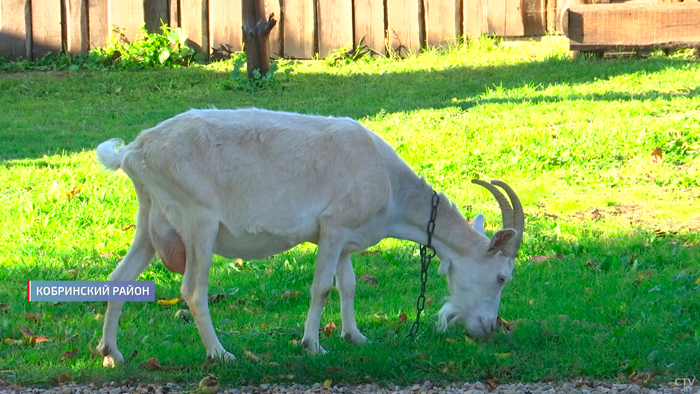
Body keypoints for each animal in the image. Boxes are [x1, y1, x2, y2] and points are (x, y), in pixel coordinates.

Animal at [97, 107, 524, 366]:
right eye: (502, 277)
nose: (488, 329)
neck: (390, 184)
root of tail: (134, 151)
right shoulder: (332, 227)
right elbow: (321, 287)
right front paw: (314, 345)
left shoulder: (347, 238)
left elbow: (349, 285)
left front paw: (356, 336)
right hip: (198, 219)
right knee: (193, 289)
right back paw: (220, 354)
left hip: (149, 219)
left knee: (119, 279)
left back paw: (111, 353)